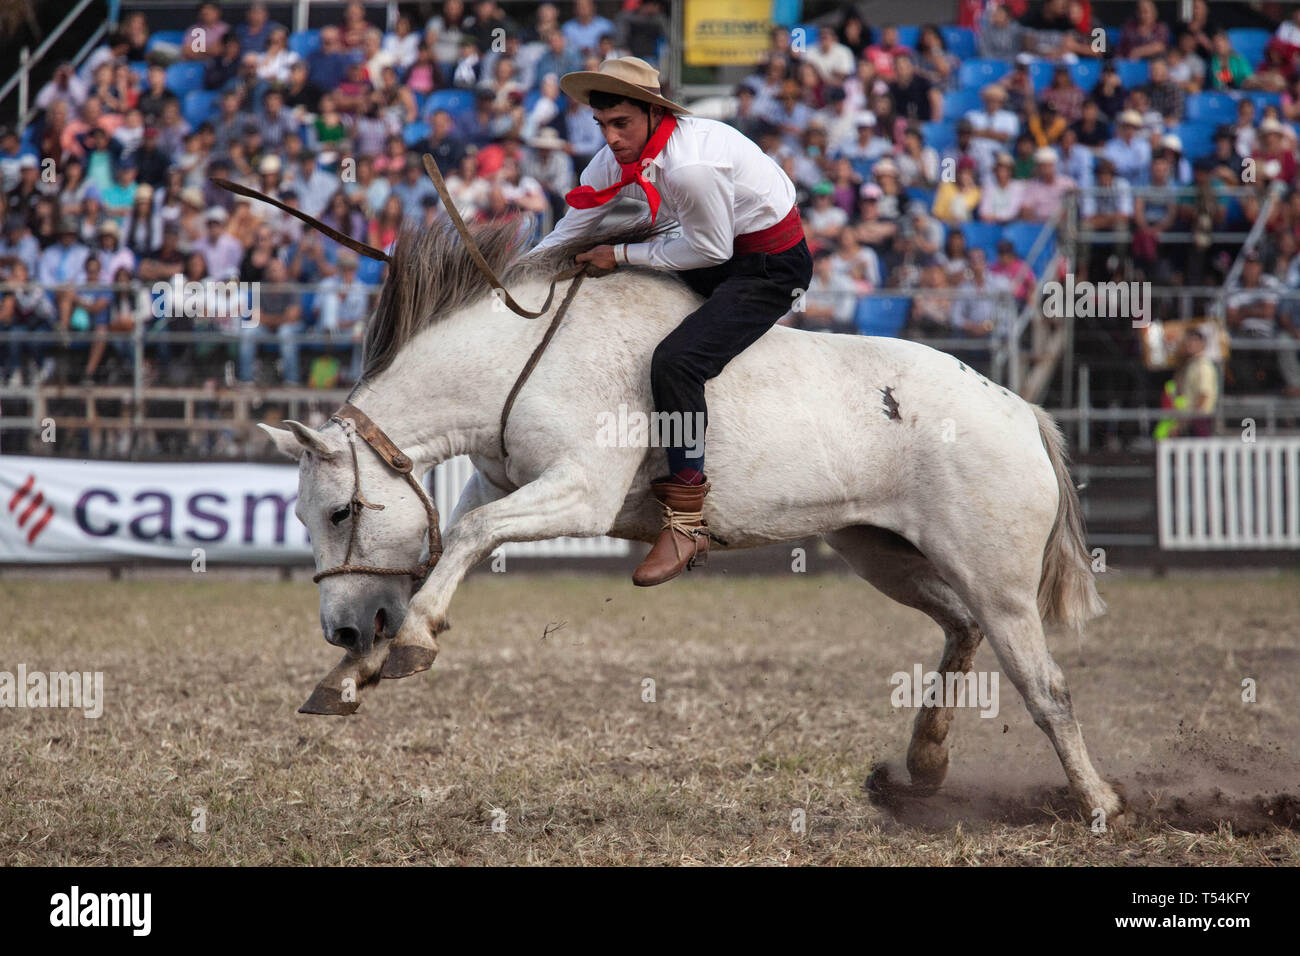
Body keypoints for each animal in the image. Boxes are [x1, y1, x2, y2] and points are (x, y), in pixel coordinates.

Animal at [258, 221, 1123, 816]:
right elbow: (457, 542)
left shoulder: (580, 491)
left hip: (997, 579)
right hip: (884, 552)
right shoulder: (500, 484)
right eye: (298, 514)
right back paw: (923, 769)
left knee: (1045, 686)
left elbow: (466, 542)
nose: (341, 627)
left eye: (339, 509)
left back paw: (1097, 803)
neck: (521, 360)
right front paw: (349, 675)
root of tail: (1019, 410)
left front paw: (407, 642)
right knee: (959, 630)